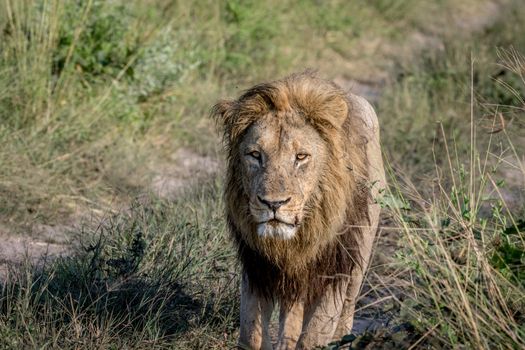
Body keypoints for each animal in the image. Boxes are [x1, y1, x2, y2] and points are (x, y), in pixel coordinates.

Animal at [211, 72, 386, 350]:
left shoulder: (334, 269)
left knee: (346, 313)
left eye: (301, 156)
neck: (296, 241)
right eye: (255, 155)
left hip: (358, 262)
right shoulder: (257, 266)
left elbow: (314, 335)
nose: (273, 204)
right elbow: (251, 333)